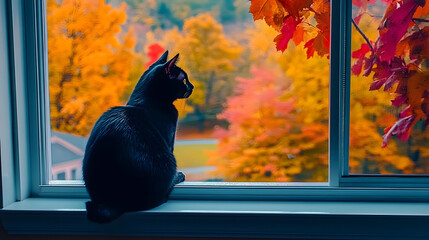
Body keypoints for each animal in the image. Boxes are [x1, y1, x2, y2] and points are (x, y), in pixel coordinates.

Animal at [80, 50, 194, 223]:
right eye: (185, 79)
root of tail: (111, 200)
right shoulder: (169, 140)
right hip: (169, 161)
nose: (192, 86)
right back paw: (177, 178)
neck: (146, 98)